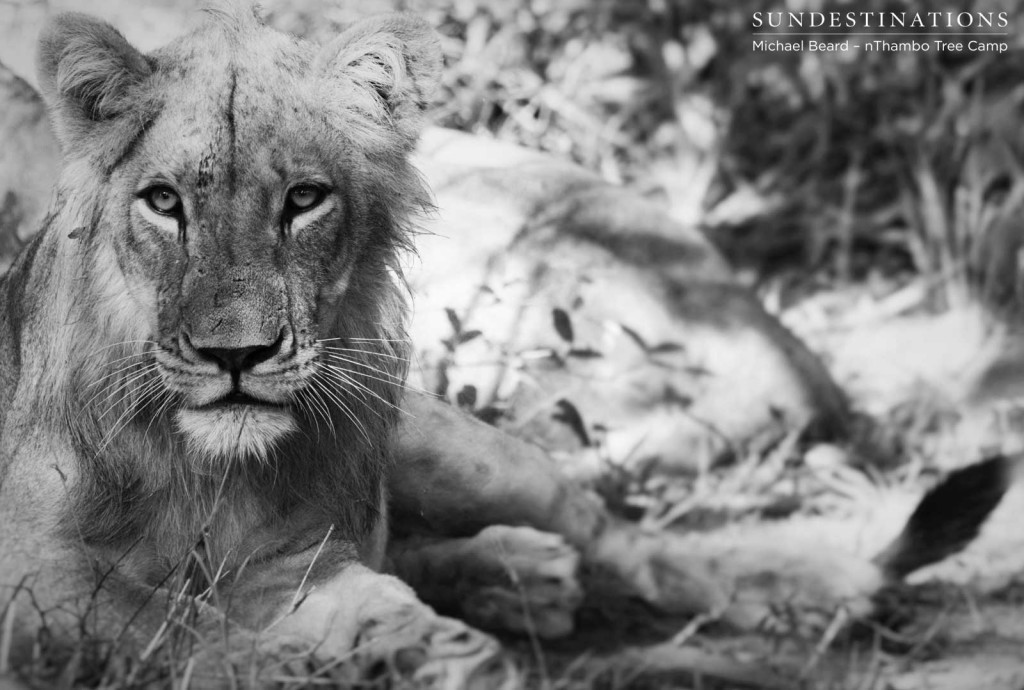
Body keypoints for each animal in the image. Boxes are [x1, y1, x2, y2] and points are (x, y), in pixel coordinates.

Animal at [0, 6, 1011, 687]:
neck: (199, 463)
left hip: (460, 441)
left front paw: (414, 645)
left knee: (624, 539)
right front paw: (359, 654)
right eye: (164, 202)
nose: (236, 357)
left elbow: (293, 601)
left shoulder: (296, 560)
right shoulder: (38, 587)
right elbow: (176, 630)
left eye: (304, 200)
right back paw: (517, 578)